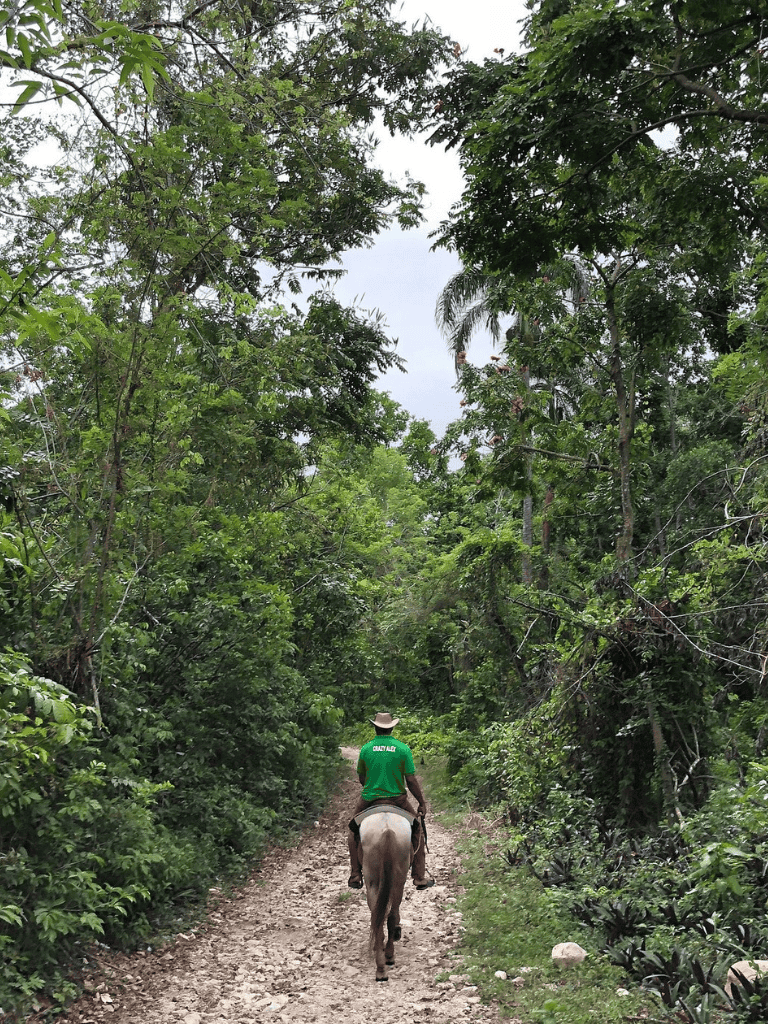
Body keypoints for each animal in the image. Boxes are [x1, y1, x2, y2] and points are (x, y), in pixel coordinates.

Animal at [358, 807, 413, 981]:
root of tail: (387, 830)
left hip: (373, 879)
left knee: (377, 915)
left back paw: (381, 965)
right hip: (398, 879)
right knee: (390, 914)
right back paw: (388, 956)